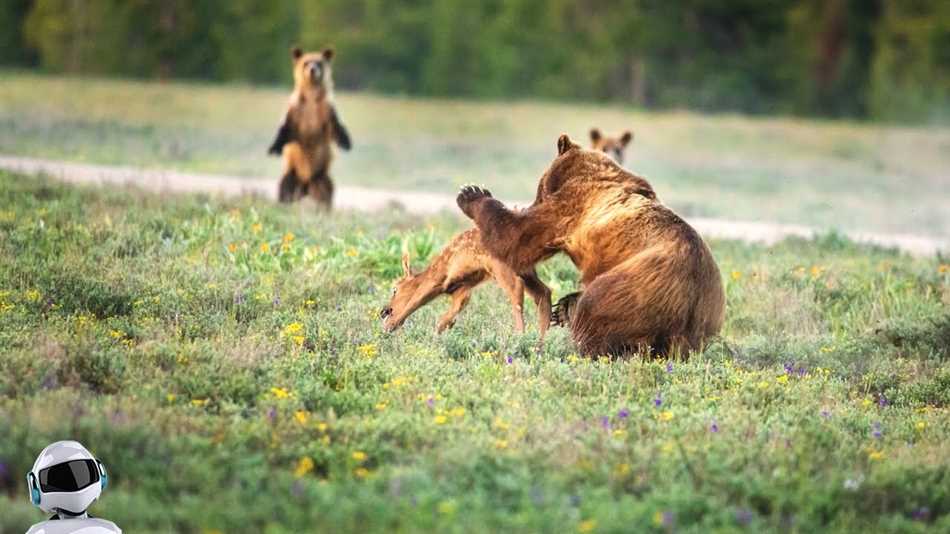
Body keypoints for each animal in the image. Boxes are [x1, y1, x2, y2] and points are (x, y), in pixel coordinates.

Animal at [268, 46, 354, 209]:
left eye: (319, 62)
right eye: (306, 62)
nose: (313, 70)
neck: (311, 97)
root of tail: (306, 187)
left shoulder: (326, 110)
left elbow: (336, 128)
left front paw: (346, 143)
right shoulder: (296, 110)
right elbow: (285, 129)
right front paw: (273, 149)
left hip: (321, 178)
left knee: (326, 192)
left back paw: (324, 208)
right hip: (292, 174)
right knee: (285, 188)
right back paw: (283, 203)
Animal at [458, 135, 724, 360]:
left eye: (537, 190)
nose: (529, 203)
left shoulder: (569, 208)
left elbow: (519, 239)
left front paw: (472, 193)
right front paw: (561, 307)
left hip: (636, 287)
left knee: (596, 310)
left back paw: (576, 345)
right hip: (702, 319)